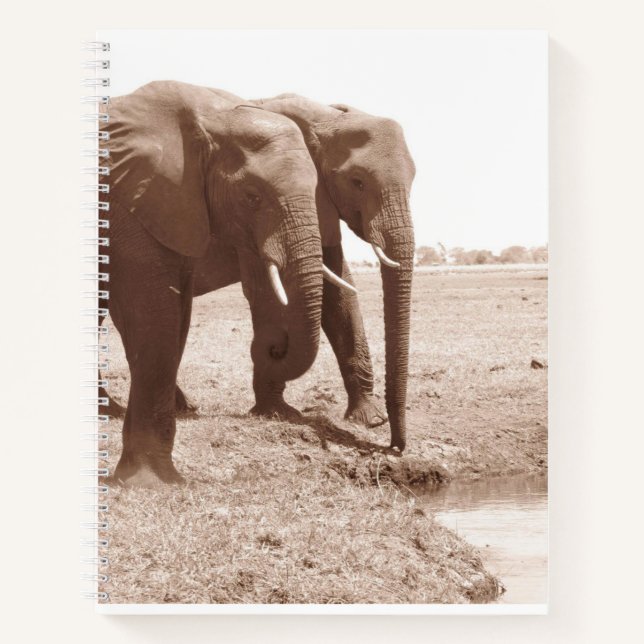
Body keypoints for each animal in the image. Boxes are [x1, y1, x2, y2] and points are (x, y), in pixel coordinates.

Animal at [100, 81, 352, 485]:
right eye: (252, 197)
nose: (274, 345)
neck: (211, 118)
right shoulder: (132, 202)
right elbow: (154, 313)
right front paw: (151, 483)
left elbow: (177, 314)